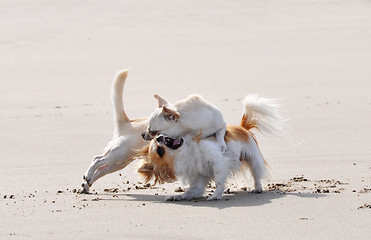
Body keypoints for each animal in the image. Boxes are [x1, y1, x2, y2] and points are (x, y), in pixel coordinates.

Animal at [137, 94, 284, 200]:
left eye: (160, 150)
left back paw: (257, 187)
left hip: (253, 158)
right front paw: (178, 196)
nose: (144, 135)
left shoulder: (218, 161)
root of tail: (242, 127)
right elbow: (191, 190)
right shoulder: (200, 176)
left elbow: (219, 179)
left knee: (256, 173)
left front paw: (216, 194)